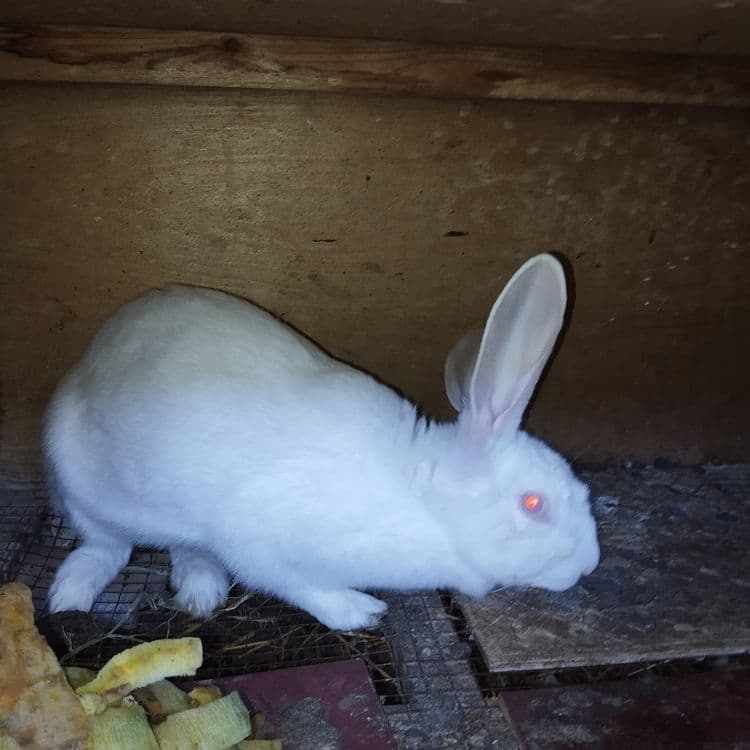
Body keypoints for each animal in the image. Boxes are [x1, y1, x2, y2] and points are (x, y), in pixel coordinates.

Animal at [43, 254, 600, 630]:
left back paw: (201, 589)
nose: (589, 565)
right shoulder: (256, 541)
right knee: (108, 547)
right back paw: (70, 595)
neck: (422, 497)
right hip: (79, 486)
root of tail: (90, 356)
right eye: (534, 504)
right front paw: (360, 611)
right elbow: (298, 585)